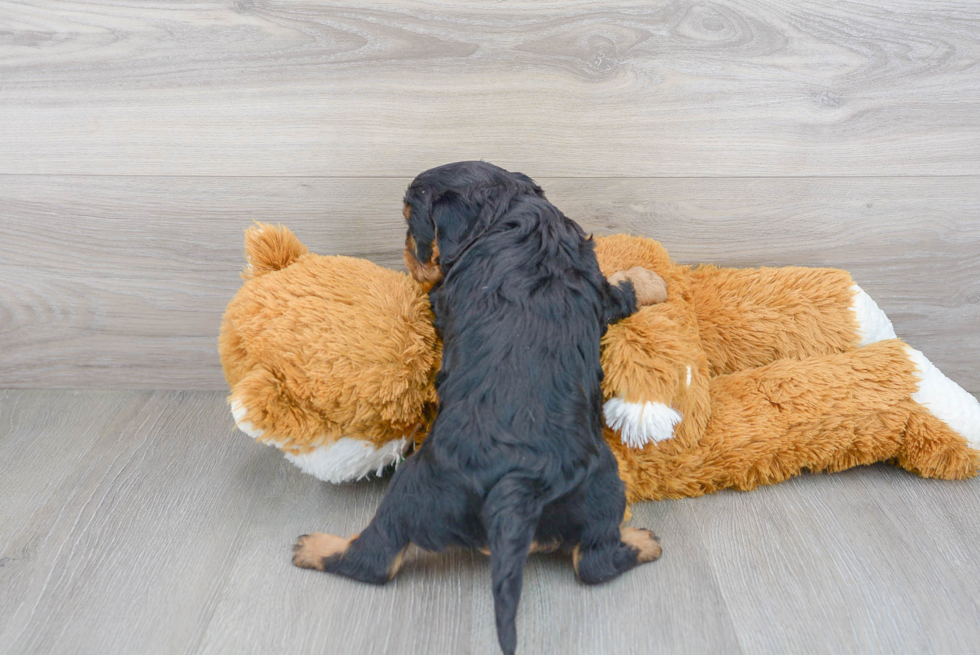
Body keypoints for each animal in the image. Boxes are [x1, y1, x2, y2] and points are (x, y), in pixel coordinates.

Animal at [290, 161, 660, 652]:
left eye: (413, 223)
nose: (405, 252)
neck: (510, 212)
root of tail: (516, 485)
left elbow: (628, 284)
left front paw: (654, 279)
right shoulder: (597, 288)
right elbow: (624, 285)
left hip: (418, 494)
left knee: (375, 558)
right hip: (598, 490)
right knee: (592, 561)